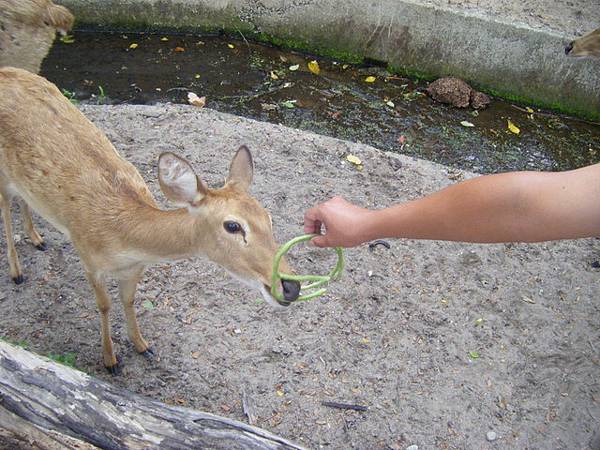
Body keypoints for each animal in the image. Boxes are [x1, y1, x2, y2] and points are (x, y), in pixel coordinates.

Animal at [0, 67, 300, 374]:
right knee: (5, 209)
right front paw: (110, 360)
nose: (292, 287)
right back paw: (17, 272)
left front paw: (142, 345)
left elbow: (129, 300)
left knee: (24, 199)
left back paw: (37, 239)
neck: (123, 238)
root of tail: (6, 70)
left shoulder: (135, 268)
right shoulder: (88, 257)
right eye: (233, 226)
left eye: (269, 218)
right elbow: (104, 305)